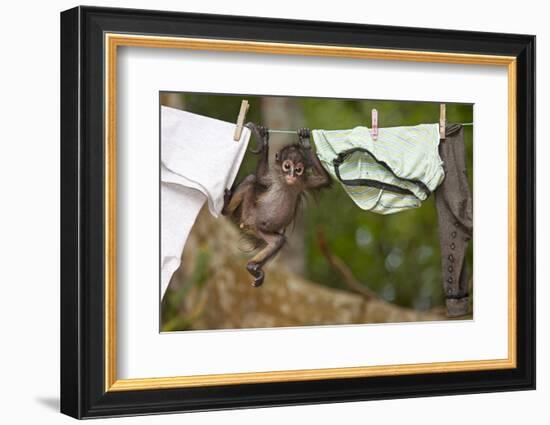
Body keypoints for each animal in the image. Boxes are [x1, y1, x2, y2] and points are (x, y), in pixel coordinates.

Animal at [221, 124, 332, 286]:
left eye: (298, 169)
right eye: (287, 166)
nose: (291, 175)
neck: (286, 183)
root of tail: (248, 223)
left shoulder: (303, 182)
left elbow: (324, 179)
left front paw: (305, 143)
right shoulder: (273, 177)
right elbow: (260, 177)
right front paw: (264, 139)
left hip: (261, 230)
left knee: (278, 240)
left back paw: (252, 266)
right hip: (249, 212)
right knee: (251, 179)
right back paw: (225, 209)